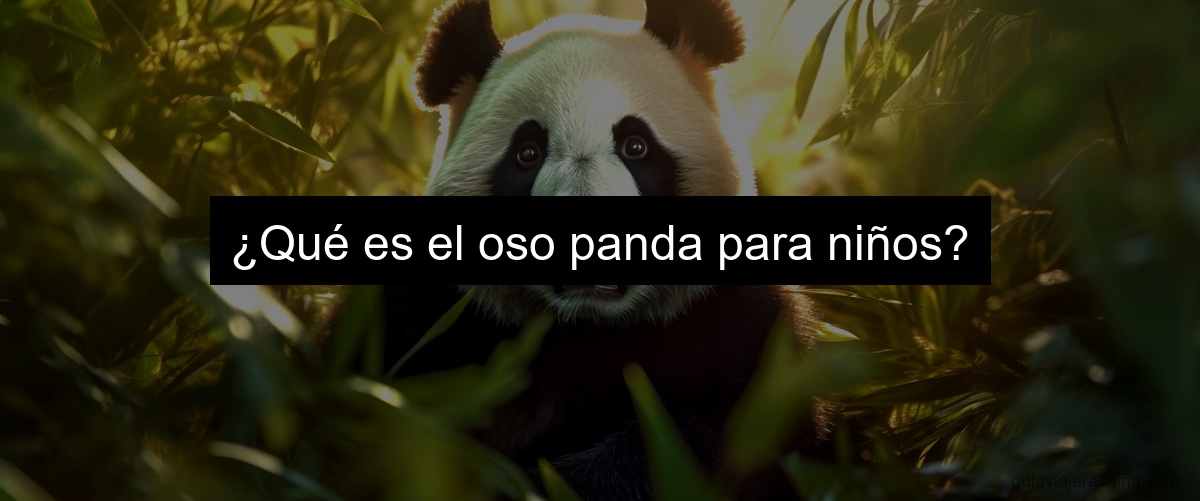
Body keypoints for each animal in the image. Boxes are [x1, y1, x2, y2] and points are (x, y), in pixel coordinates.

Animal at [375, 1, 836, 500]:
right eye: (527, 153)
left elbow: (710, 442)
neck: (587, 324)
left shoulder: (741, 326)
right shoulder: (434, 313)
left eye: (635, 145)